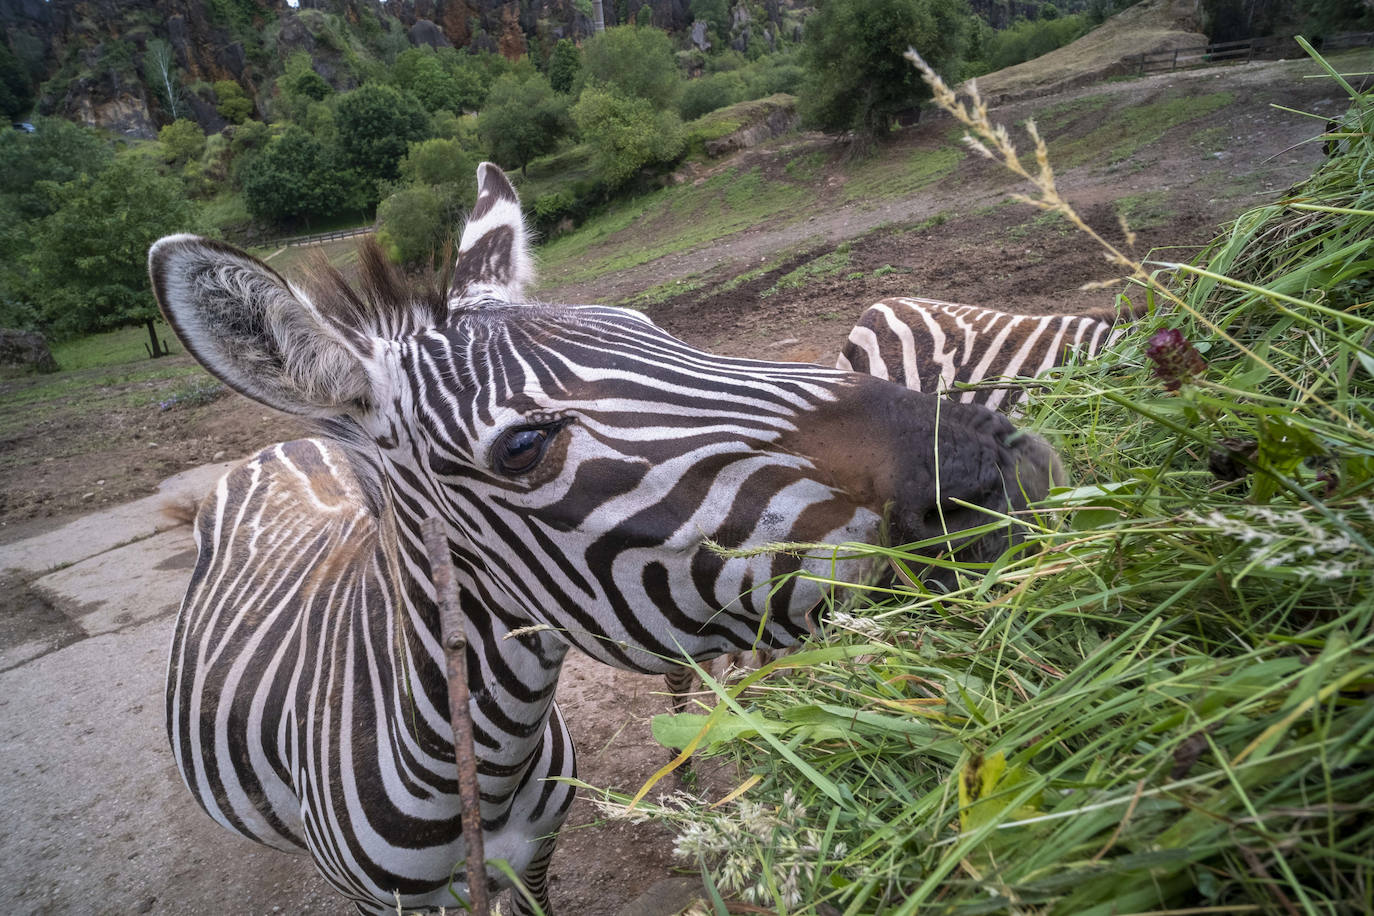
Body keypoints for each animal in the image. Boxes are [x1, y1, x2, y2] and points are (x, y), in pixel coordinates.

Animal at [150, 164, 1060, 916]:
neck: (484, 766)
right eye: (523, 447)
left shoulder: (537, 859)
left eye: (656, 331)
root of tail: (273, 447)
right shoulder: (395, 907)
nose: (1011, 471)